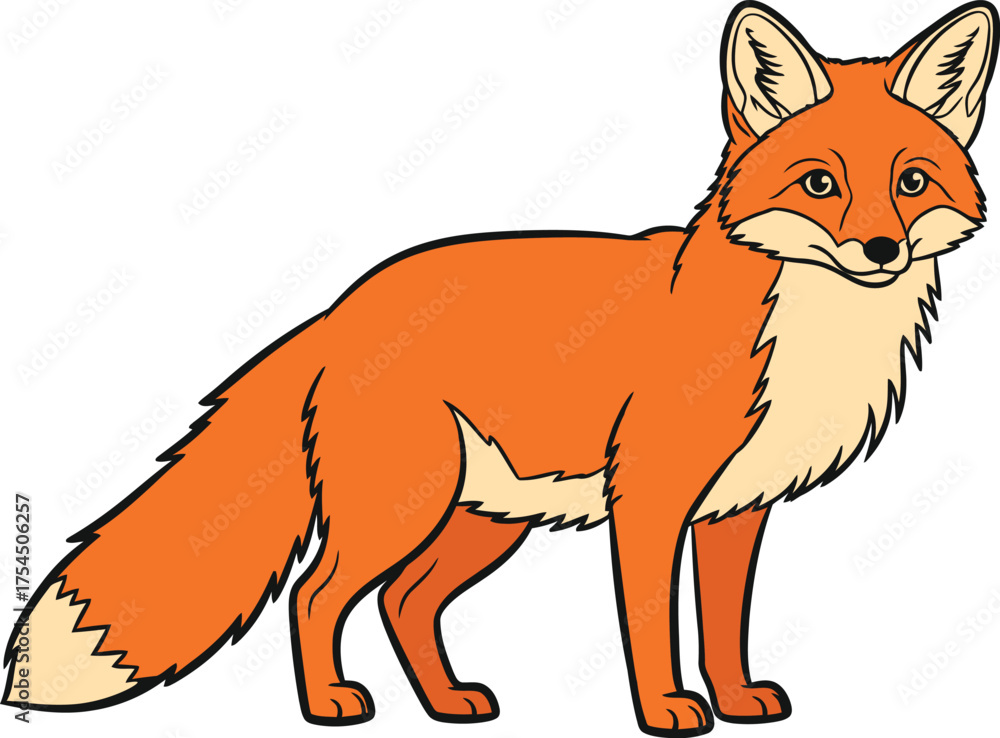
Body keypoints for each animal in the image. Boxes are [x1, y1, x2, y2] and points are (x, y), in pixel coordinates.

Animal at [4, 2, 997, 736]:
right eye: (820, 184)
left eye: (911, 183)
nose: (880, 250)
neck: (807, 337)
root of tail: (341, 307)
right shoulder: (651, 499)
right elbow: (651, 623)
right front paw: (666, 710)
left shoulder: (735, 509)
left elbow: (724, 625)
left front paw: (738, 701)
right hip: (400, 509)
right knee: (320, 596)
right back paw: (330, 706)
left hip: (480, 521)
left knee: (404, 604)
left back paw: (448, 704)